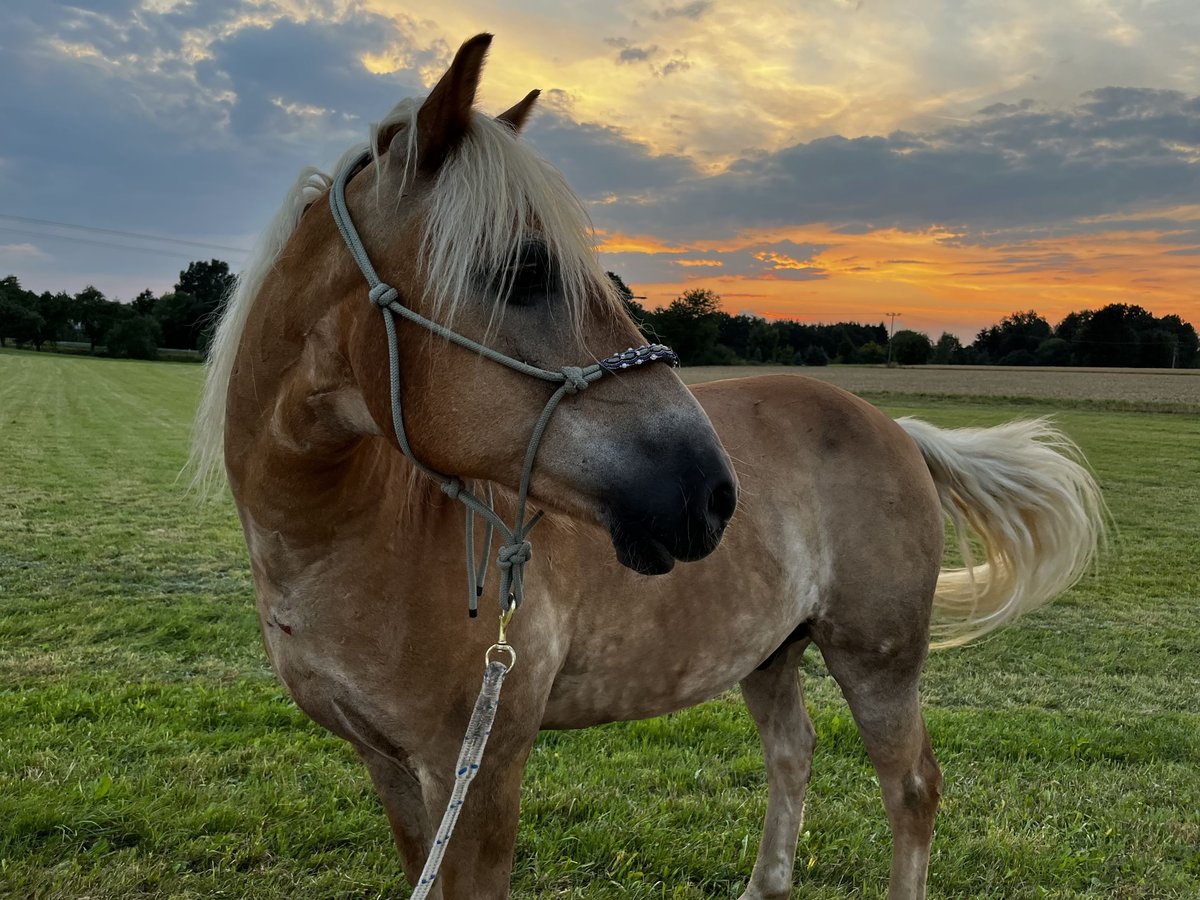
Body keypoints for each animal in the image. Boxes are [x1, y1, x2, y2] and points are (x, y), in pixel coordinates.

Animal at [194, 35, 1104, 900]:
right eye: (524, 271)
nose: (712, 493)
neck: (345, 540)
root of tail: (897, 429)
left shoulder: (479, 772)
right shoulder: (389, 768)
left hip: (878, 659)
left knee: (911, 787)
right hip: (770, 652)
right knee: (793, 753)